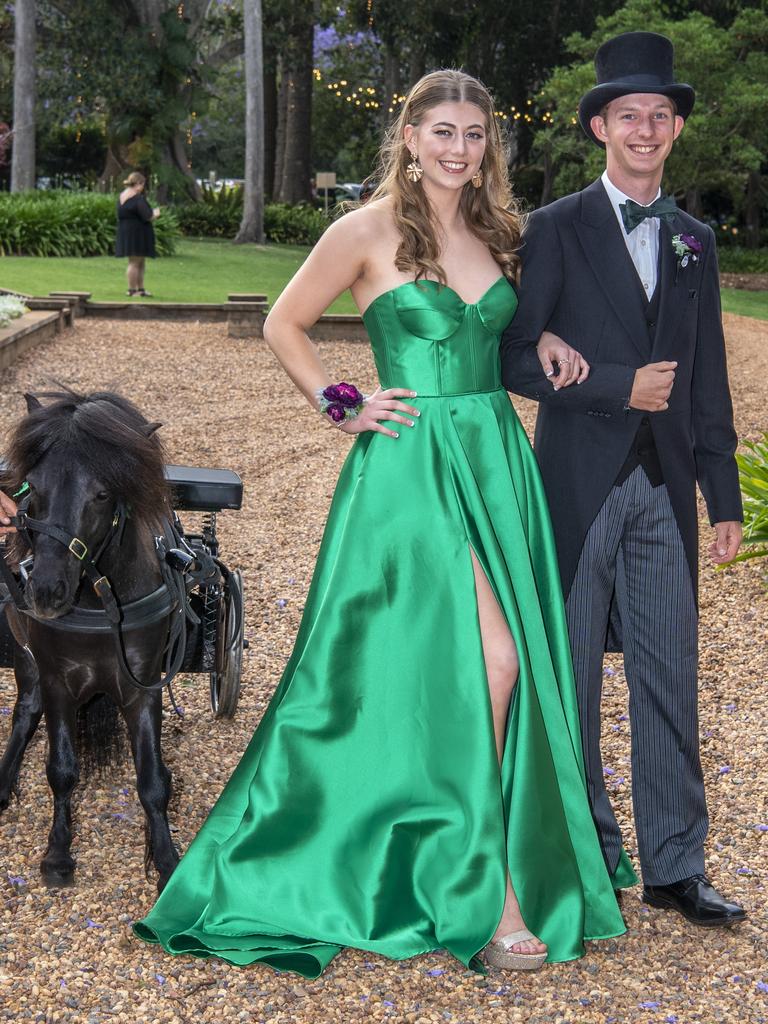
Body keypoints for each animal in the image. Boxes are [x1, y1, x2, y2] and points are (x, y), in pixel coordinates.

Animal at [0, 387, 181, 892]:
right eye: (30, 487)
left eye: (102, 493)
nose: (44, 591)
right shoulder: (56, 680)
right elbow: (61, 769)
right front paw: (58, 854)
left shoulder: (142, 686)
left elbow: (152, 780)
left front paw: (165, 859)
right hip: (26, 662)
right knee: (25, 713)